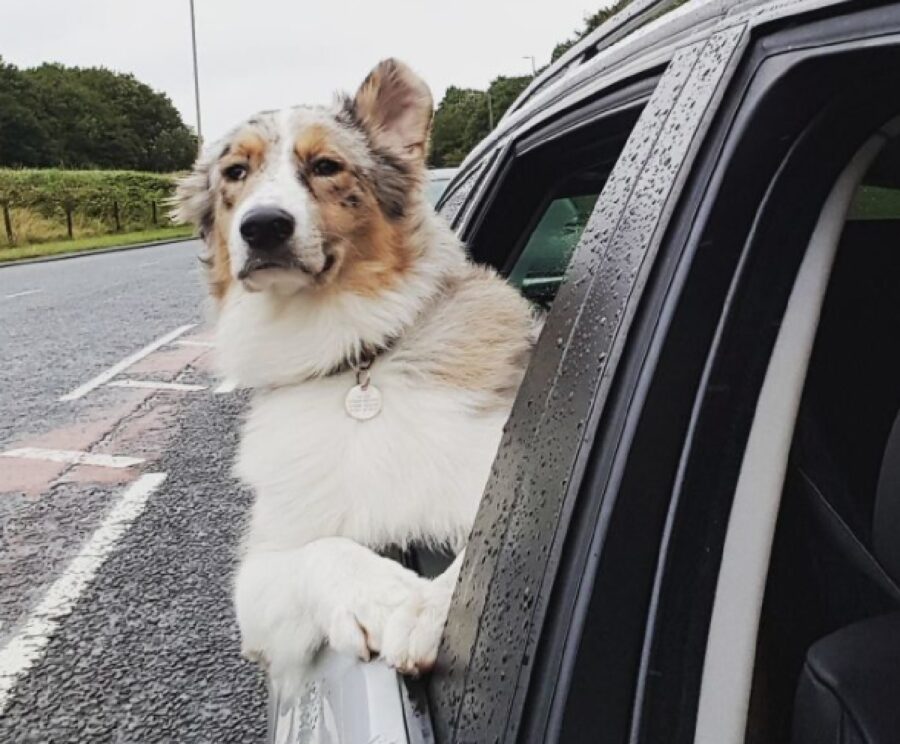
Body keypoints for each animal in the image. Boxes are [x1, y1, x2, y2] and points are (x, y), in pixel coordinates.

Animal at [173, 58, 536, 692]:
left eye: (325, 166)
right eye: (235, 172)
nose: (263, 227)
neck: (355, 360)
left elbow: (491, 542)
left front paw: (432, 609)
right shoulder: (262, 573)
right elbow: (321, 551)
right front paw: (389, 599)